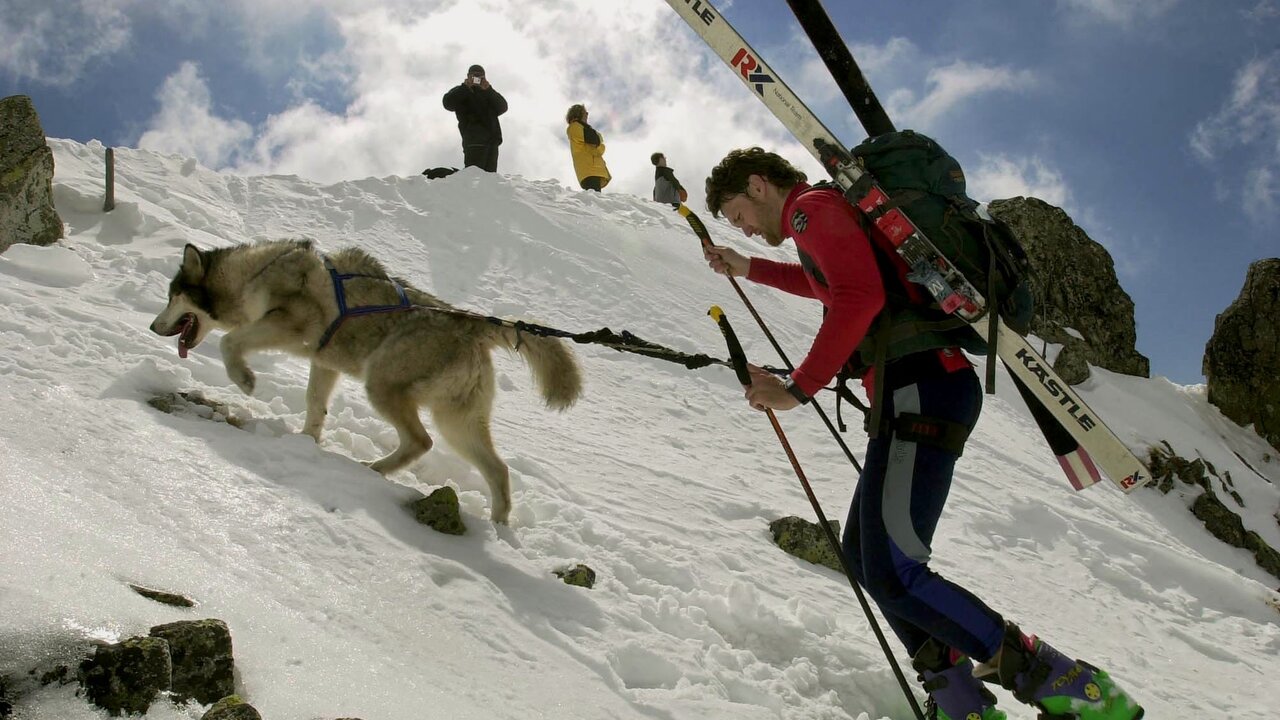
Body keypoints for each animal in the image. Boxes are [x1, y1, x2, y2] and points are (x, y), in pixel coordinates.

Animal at [149, 240, 586, 520]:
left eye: (172, 297)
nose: (153, 327)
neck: (253, 274)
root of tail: (471, 323)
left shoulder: (290, 327)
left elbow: (229, 342)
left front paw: (244, 379)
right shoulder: (323, 363)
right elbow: (315, 407)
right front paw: (304, 443)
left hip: (383, 386)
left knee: (422, 442)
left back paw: (375, 470)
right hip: (456, 422)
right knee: (497, 470)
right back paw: (498, 529)